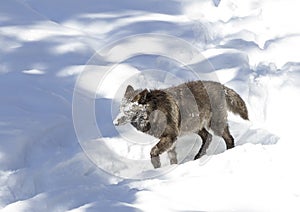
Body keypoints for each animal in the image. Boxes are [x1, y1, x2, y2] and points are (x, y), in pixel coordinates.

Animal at [113, 80, 248, 168]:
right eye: (120, 109)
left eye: (127, 111)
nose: (114, 122)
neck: (153, 111)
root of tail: (221, 86)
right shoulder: (170, 140)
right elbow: (172, 158)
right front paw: (172, 168)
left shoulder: (170, 136)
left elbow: (153, 151)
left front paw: (157, 166)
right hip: (195, 126)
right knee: (208, 137)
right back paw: (198, 157)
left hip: (215, 125)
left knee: (229, 138)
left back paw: (229, 153)